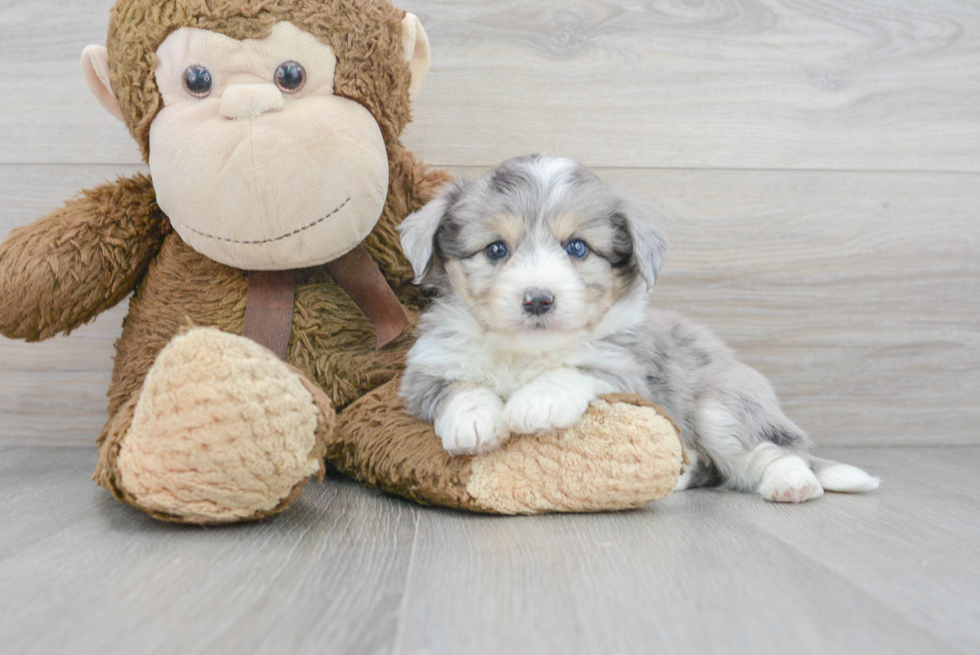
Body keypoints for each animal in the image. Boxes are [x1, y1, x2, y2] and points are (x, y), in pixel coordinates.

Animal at [398, 156, 880, 504]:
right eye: (496, 249)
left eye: (577, 247)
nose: (537, 299)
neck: (527, 352)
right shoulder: (423, 372)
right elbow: (458, 386)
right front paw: (474, 421)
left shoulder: (632, 373)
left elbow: (578, 369)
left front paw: (537, 401)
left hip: (723, 403)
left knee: (777, 449)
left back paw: (792, 483)